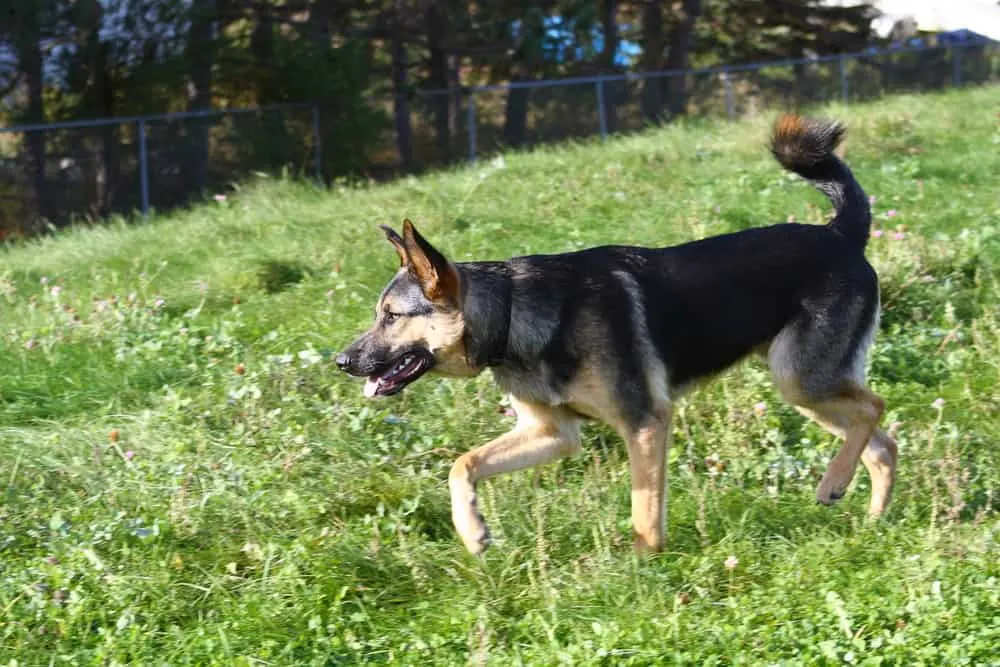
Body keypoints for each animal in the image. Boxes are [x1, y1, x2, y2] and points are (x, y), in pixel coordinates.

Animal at [336, 116, 900, 560]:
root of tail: (840, 233)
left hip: (800, 378)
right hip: (807, 387)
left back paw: (834, 484)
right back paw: (870, 519)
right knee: (882, 444)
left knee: (875, 408)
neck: (515, 314)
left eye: (390, 316)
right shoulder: (554, 433)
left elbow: (644, 511)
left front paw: (644, 573)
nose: (341, 361)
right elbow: (463, 464)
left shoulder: (644, 423)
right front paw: (472, 531)